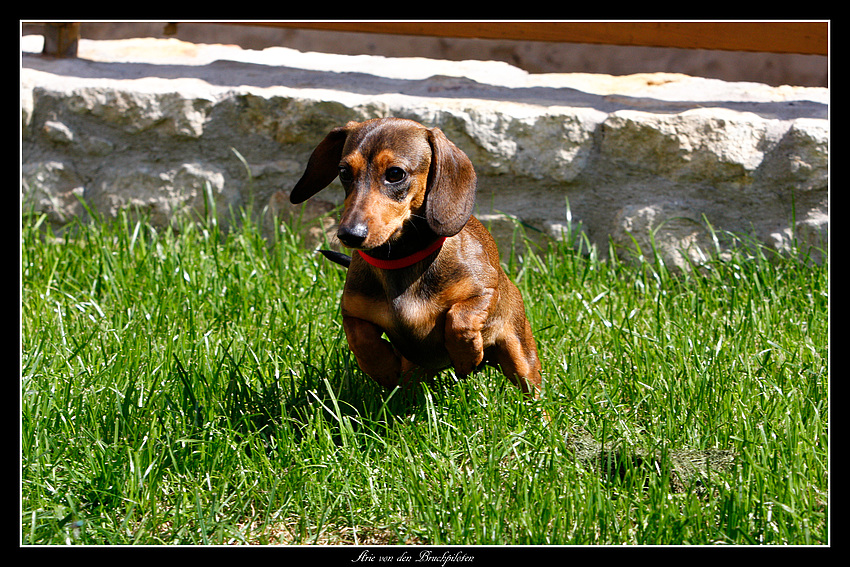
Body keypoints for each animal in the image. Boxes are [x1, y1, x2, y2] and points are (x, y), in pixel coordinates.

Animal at [288, 117, 540, 398]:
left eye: (395, 174)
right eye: (343, 172)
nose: (349, 234)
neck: (400, 259)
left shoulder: (484, 291)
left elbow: (460, 320)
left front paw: (467, 356)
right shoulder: (352, 311)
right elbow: (361, 340)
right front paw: (384, 368)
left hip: (519, 353)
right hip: (416, 371)